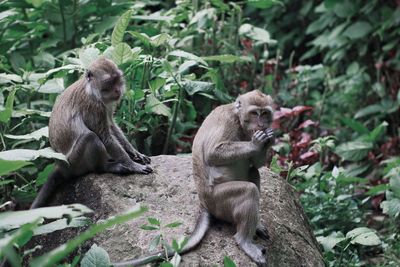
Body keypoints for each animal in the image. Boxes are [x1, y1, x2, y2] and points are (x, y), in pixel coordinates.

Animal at [30, 57, 153, 210]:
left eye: (117, 79)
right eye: (109, 82)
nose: (118, 90)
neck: (92, 90)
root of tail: (62, 168)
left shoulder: (106, 104)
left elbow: (111, 126)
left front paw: (135, 152)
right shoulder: (93, 106)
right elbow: (105, 137)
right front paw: (132, 165)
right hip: (74, 164)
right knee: (91, 138)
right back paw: (105, 167)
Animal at [114, 90, 274, 267]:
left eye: (265, 113)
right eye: (254, 113)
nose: (261, 125)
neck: (239, 120)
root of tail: (204, 203)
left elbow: (256, 164)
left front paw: (268, 141)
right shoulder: (227, 121)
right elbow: (213, 153)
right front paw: (256, 144)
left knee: (254, 172)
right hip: (218, 201)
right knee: (248, 191)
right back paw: (244, 241)